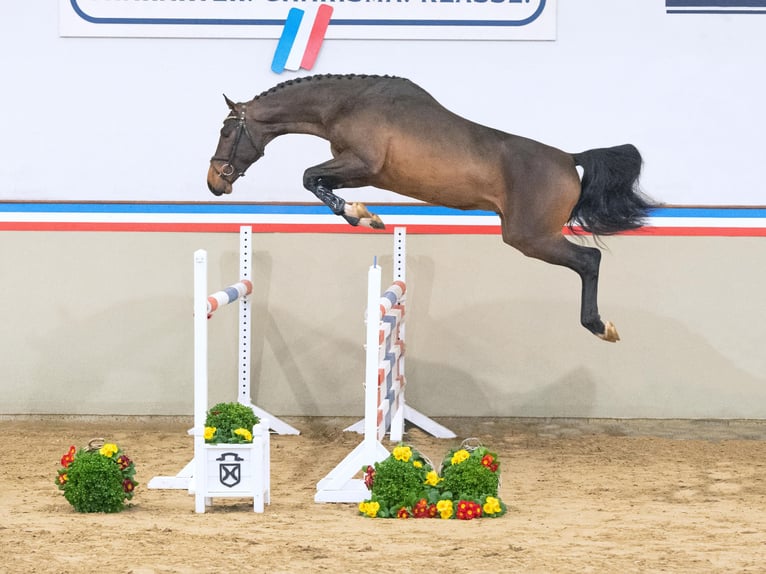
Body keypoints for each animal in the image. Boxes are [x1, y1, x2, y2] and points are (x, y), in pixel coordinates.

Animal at [207, 72, 656, 342]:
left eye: (227, 132)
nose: (214, 182)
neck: (345, 104)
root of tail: (569, 158)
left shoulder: (362, 165)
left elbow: (309, 177)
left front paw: (361, 215)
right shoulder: (357, 171)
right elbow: (316, 181)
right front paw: (364, 214)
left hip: (531, 237)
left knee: (590, 260)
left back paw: (600, 326)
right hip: (532, 237)